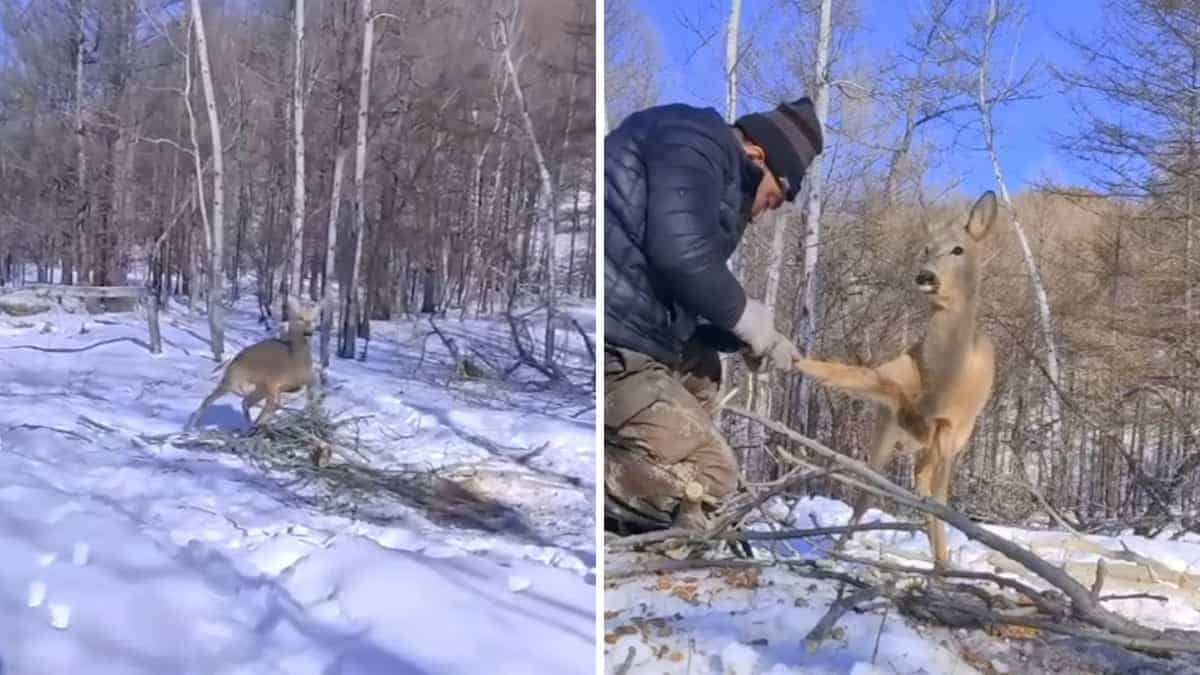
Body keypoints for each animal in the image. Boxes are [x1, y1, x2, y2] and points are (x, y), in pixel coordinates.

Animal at [186, 295, 319, 429]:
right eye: (300, 318)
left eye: (314, 320)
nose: (308, 333)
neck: (295, 357)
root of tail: (234, 359)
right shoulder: (274, 384)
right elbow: (269, 409)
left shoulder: (306, 381)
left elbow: (310, 401)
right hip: (231, 382)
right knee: (209, 399)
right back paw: (190, 425)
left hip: (255, 388)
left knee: (244, 402)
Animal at [792, 189, 998, 566]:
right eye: (926, 248)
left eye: (958, 249)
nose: (925, 275)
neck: (945, 378)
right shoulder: (894, 404)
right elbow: (879, 382)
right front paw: (803, 362)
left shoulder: (952, 429)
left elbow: (939, 495)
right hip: (886, 434)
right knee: (869, 493)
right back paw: (838, 551)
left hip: (953, 440)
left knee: (927, 487)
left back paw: (939, 559)